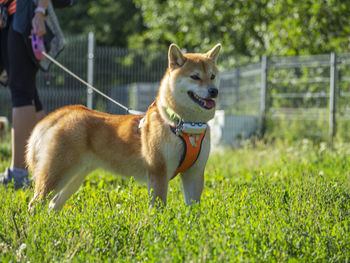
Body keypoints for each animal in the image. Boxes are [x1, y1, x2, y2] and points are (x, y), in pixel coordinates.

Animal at [26, 43, 221, 212]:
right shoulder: (158, 173)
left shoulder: (194, 173)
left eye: (212, 76)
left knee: (53, 204)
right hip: (57, 174)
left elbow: (194, 211)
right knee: (35, 204)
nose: (214, 91)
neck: (184, 124)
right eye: (195, 76)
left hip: (76, 177)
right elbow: (159, 209)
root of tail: (64, 112)